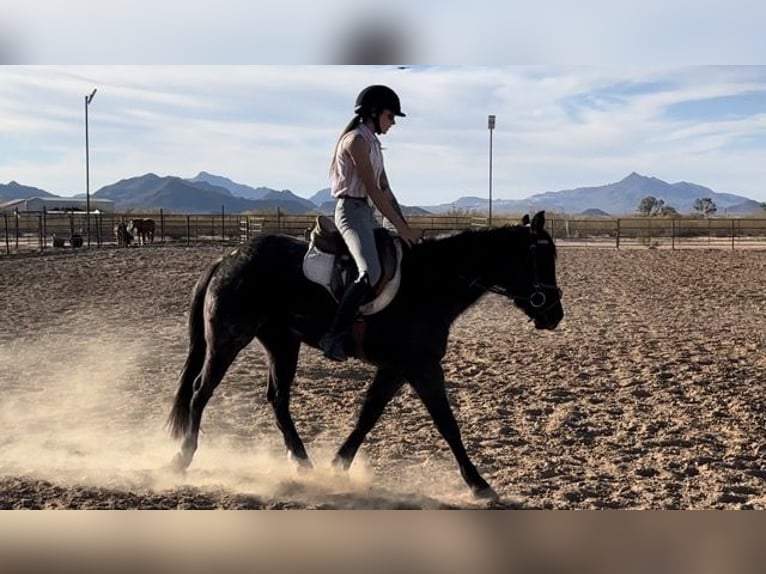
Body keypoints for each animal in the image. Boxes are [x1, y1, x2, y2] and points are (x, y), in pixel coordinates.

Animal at [168, 210, 564, 500]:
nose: (554, 314)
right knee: (201, 391)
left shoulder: (396, 368)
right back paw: (182, 458)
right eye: (541, 258)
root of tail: (227, 258)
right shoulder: (421, 367)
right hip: (228, 340)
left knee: (277, 399)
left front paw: (338, 465)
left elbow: (368, 415)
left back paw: (302, 462)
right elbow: (447, 423)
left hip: (282, 344)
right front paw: (479, 484)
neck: (432, 281)